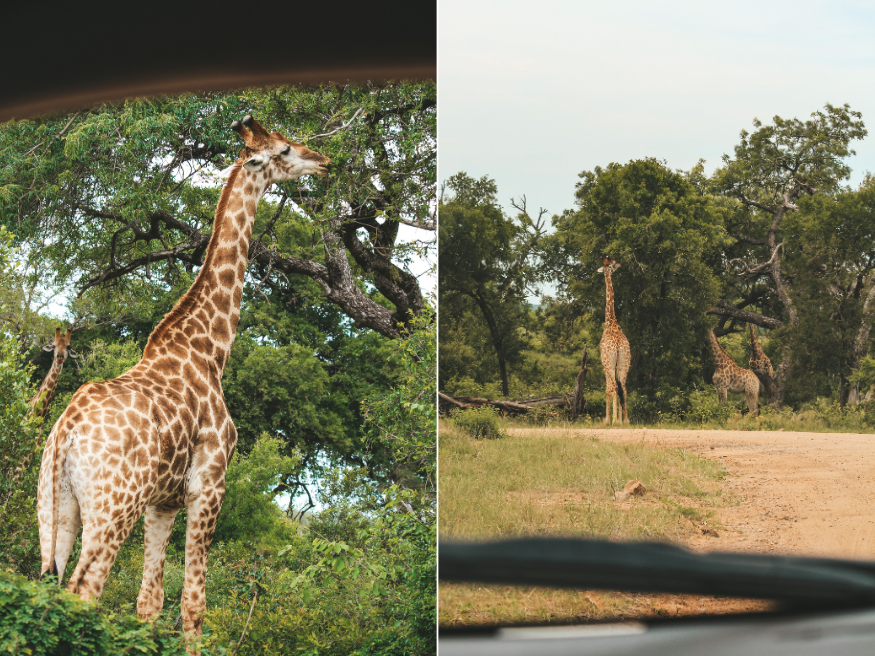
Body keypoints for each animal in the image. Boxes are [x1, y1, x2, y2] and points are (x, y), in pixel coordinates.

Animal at [36, 115, 330, 638]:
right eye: (284, 150)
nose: (325, 161)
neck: (210, 350)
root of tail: (65, 430)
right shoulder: (208, 485)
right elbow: (193, 605)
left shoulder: (164, 501)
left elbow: (149, 601)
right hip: (114, 506)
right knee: (84, 590)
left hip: (57, 509)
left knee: (51, 583)